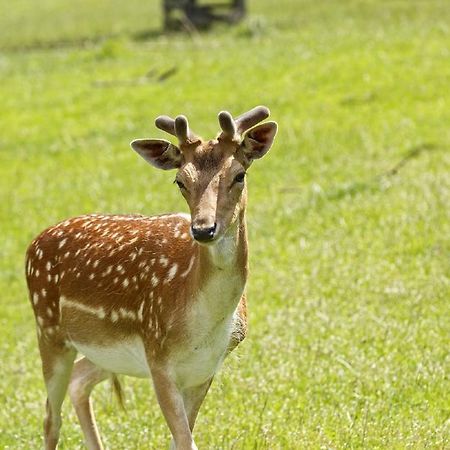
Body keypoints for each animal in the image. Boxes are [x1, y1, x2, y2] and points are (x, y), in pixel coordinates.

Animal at [25, 106, 278, 450]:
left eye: (239, 175)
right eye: (180, 180)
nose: (203, 229)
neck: (202, 327)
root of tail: (33, 243)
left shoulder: (205, 369)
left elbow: (180, 440)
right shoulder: (158, 358)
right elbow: (185, 441)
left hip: (107, 353)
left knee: (78, 381)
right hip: (48, 329)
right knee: (51, 418)